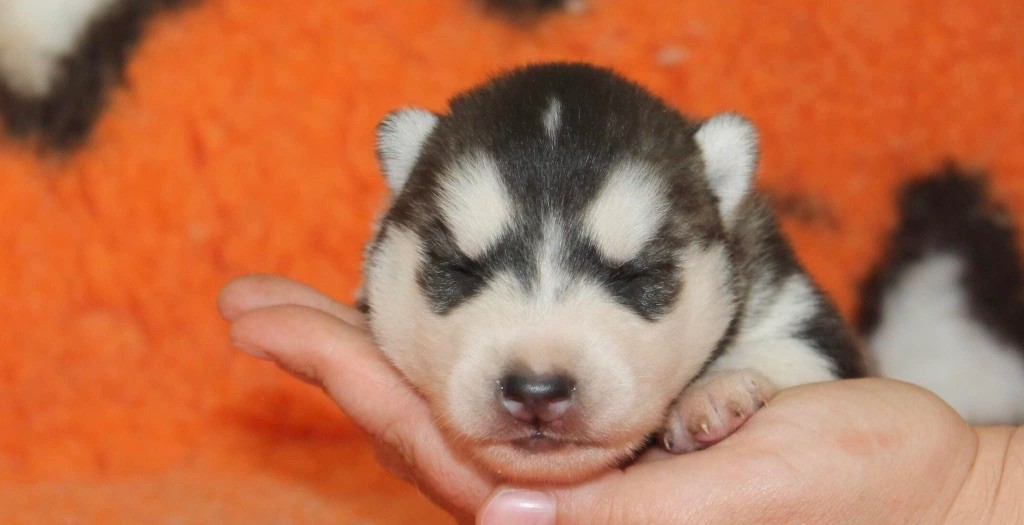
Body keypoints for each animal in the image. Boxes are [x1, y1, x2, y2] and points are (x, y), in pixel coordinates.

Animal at [360, 62, 864, 483]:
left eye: (637, 274)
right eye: (458, 268)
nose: (537, 390)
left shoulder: (792, 302)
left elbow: (796, 348)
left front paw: (716, 391)